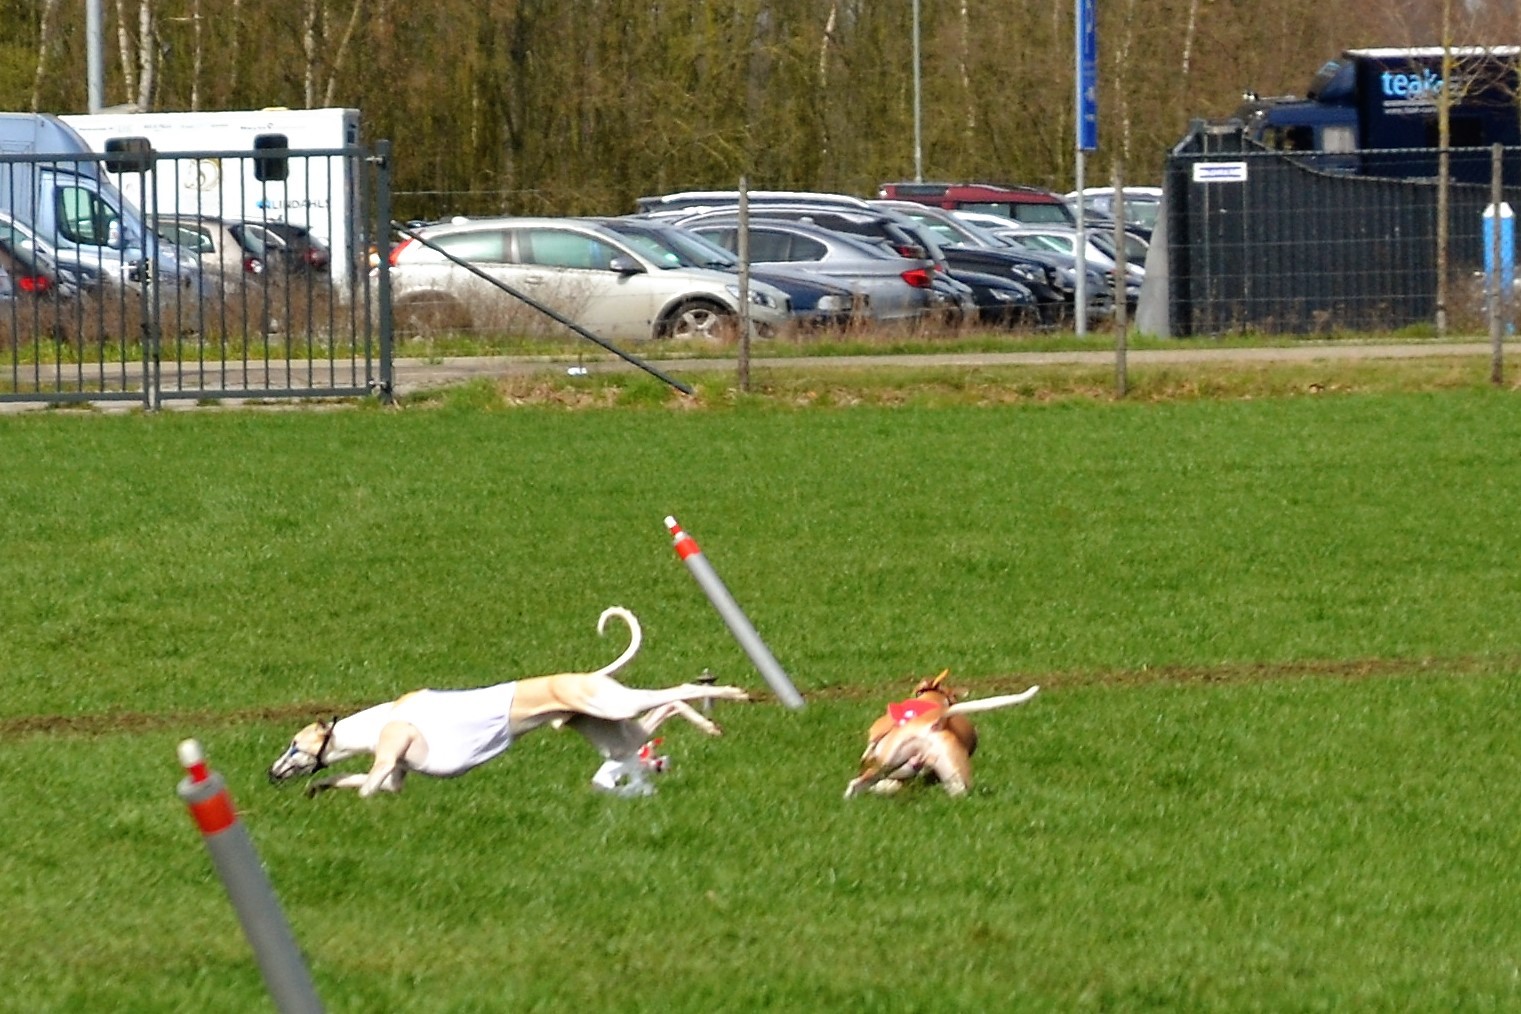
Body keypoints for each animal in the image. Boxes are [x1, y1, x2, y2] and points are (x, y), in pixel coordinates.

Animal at [273, 608, 754, 796]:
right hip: (603, 726)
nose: (271, 772)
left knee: (676, 691)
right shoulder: (395, 777)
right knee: (661, 711)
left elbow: (366, 788)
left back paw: (730, 694)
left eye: (294, 746)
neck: (378, 721)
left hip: (611, 707)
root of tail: (590, 676)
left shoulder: (390, 752)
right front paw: (317, 787)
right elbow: (359, 783)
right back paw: (711, 724)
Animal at [839, 668, 1040, 802]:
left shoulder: (877, 733)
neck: (936, 700)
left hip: (888, 760)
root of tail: (937, 722)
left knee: (859, 781)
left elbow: (869, 748)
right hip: (948, 775)